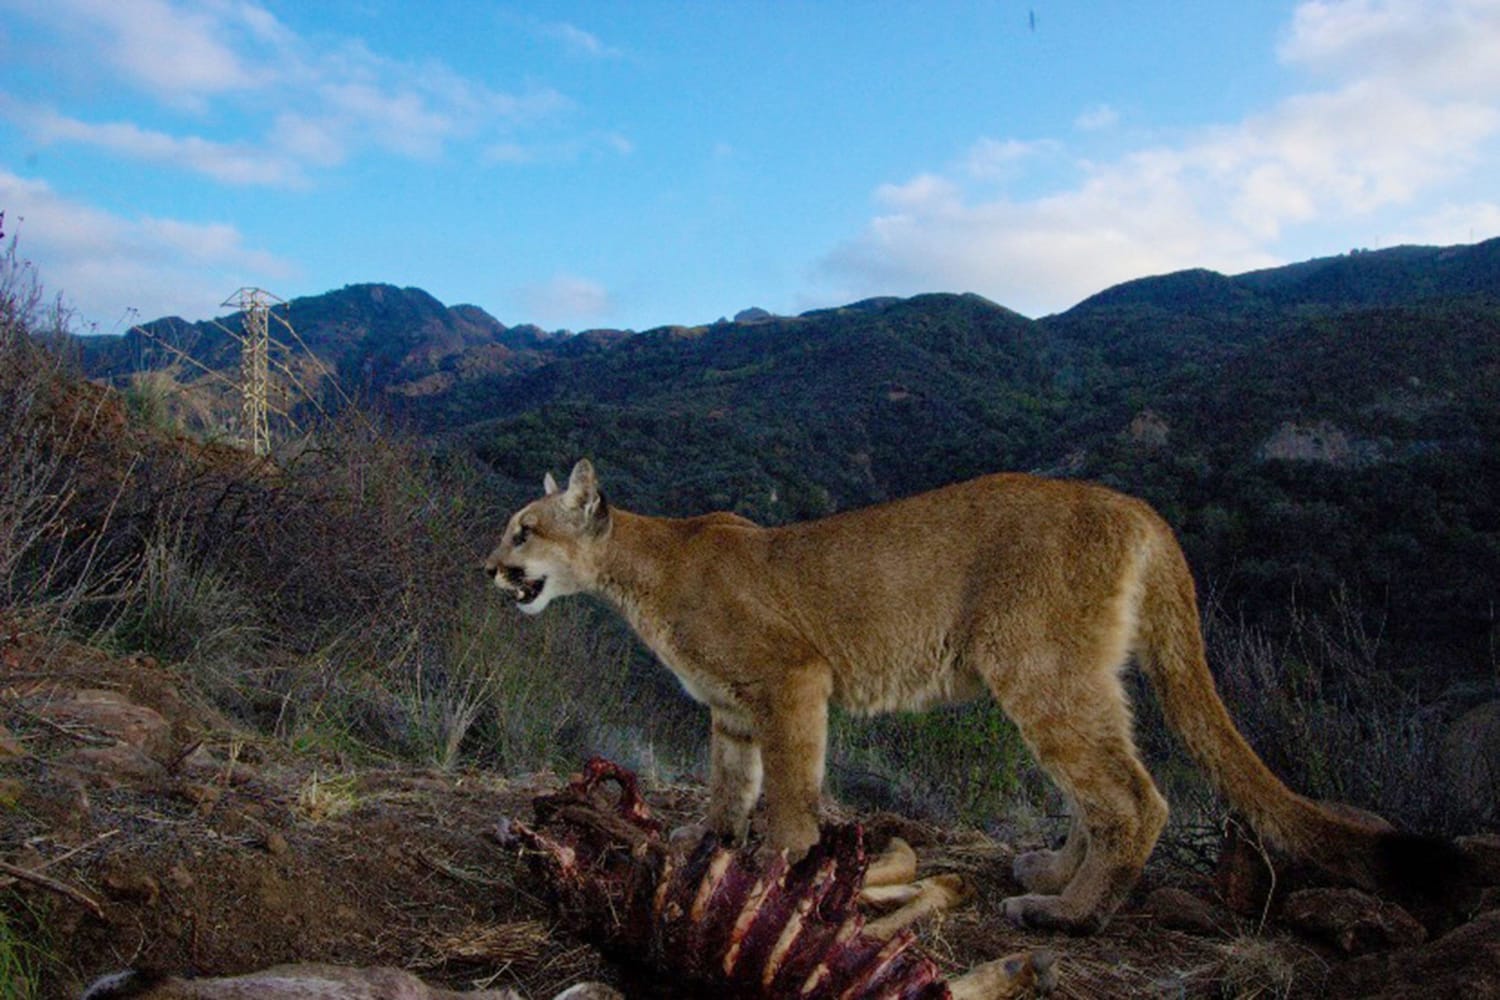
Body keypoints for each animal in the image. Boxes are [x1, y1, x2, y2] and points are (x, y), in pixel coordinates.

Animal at [489, 458, 1464, 929]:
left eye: (524, 531)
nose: (488, 569)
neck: (643, 573)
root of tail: (1134, 505)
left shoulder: (792, 679)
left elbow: (793, 793)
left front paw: (778, 868)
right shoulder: (732, 712)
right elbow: (734, 787)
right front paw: (708, 844)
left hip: (1036, 668)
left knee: (1133, 797)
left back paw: (1069, 915)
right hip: (1076, 674)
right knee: (1102, 790)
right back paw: (1054, 874)